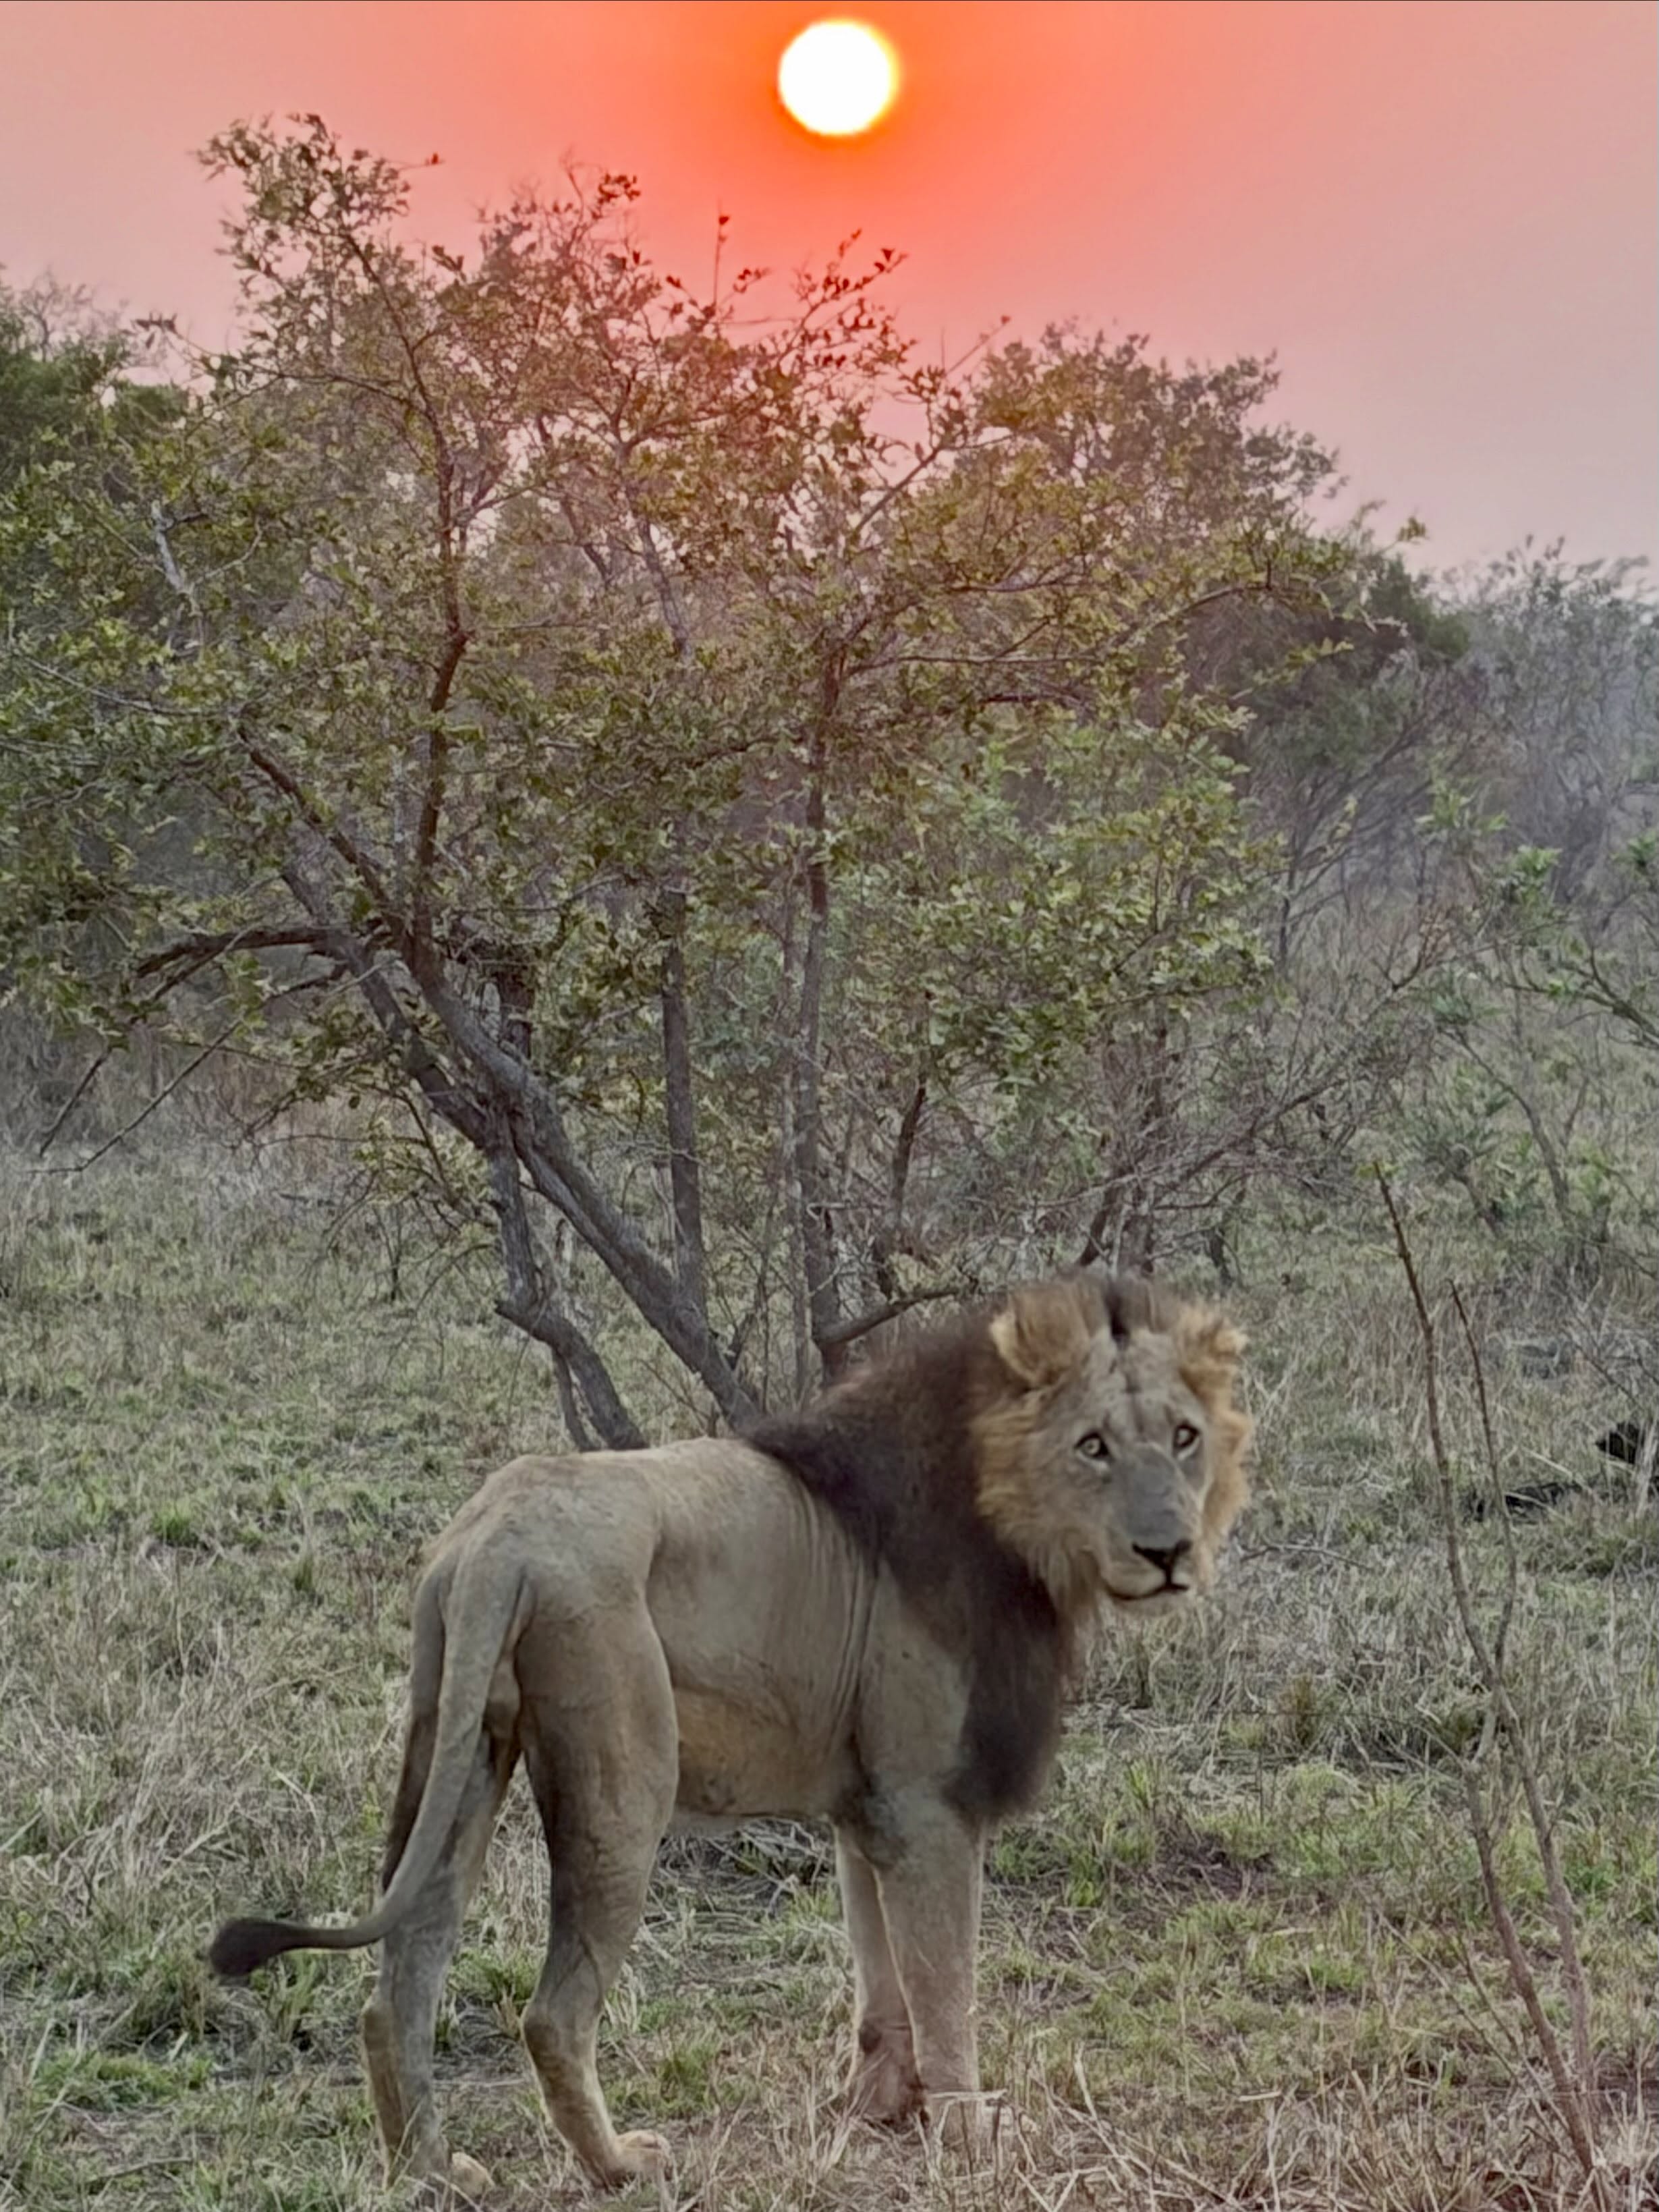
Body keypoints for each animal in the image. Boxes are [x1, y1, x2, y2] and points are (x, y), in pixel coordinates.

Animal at [210, 1271, 1250, 2197]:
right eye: (1092, 1446)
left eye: (1183, 1438)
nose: (1167, 1551)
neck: (1011, 1520)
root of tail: (497, 1536)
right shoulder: (928, 1805)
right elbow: (944, 1982)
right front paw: (970, 2132)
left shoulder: (866, 1808)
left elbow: (882, 1975)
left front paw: (881, 2105)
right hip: (619, 1789)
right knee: (551, 2014)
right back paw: (617, 2165)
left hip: (455, 1752)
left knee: (398, 1985)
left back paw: (431, 2171)